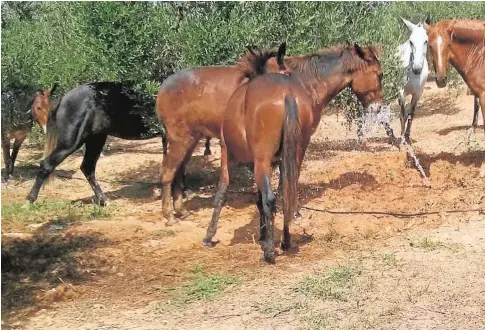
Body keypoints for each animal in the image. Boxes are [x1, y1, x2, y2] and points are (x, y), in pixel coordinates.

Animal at [157, 43, 290, 226]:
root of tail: (163, 87)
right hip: (179, 140)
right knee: (168, 172)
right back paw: (169, 215)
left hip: (190, 140)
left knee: (179, 171)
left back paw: (180, 210)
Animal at [202, 43, 384, 262]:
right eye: (380, 75)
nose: (378, 108)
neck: (311, 86)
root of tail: (285, 94)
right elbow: (266, 194)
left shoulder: (228, 153)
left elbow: (224, 192)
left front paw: (210, 235)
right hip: (291, 152)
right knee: (286, 193)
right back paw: (285, 241)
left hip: (262, 159)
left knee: (271, 198)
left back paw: (270, 251)